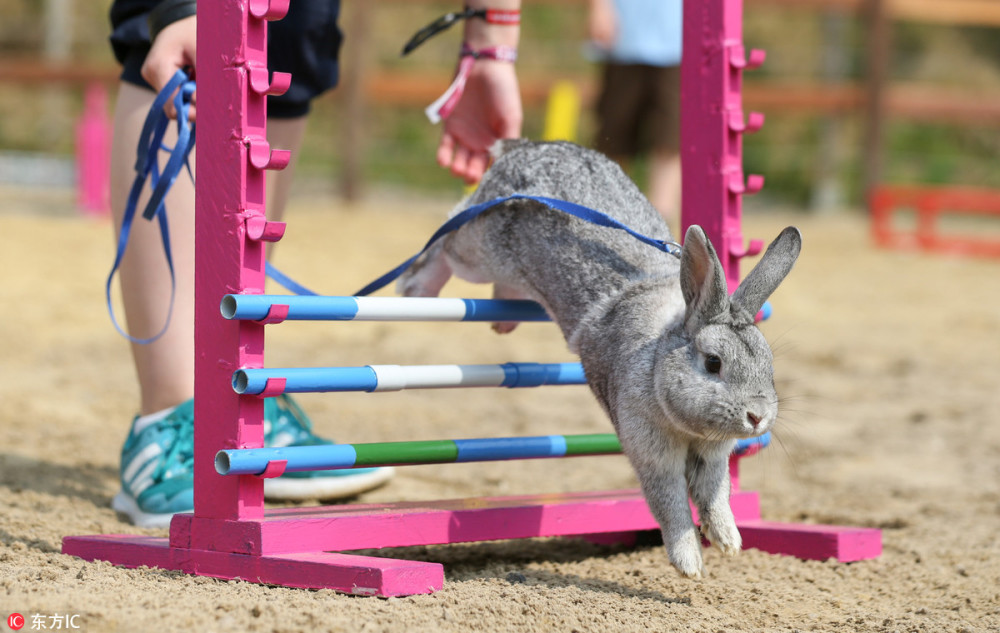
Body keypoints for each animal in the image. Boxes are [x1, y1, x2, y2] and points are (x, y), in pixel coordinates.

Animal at [398, 139, 804, 576]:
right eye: (714, 362)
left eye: (769, 366)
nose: (758, 417)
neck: (658, 360)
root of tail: (525, 148)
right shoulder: (651, 452)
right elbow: (671, 506)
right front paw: (689, 564)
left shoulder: (712, 460)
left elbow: (716, 496)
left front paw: (729, 542)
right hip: (477, 249)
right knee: (446, 235)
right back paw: (414, 289)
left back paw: (503, 321)